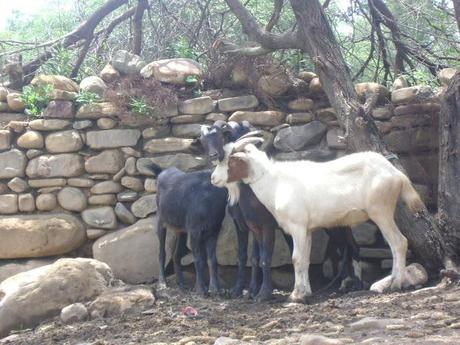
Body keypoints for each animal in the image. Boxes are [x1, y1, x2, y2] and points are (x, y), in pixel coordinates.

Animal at [146, 163, 227, 294]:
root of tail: (160, 172)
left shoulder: (214, 230)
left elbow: (213, 260)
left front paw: (215, 289)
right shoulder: (195, 231)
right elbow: (199, 260)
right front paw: (201, 289)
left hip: (181, 230)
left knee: (176, 255)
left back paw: (181, 283)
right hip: (160, 221)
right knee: (161, 253)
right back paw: (162, 283)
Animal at [210, 137, 422, 300]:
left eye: (230, 160)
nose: (213, 178)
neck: (276, 182)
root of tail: (396, 173)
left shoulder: (297, 227)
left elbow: (296, 258)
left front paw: (295, 295)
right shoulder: (308, 230)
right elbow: (305, 260)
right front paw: (306, 292)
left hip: (381, 212)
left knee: (399, 242)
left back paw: (396, 284)